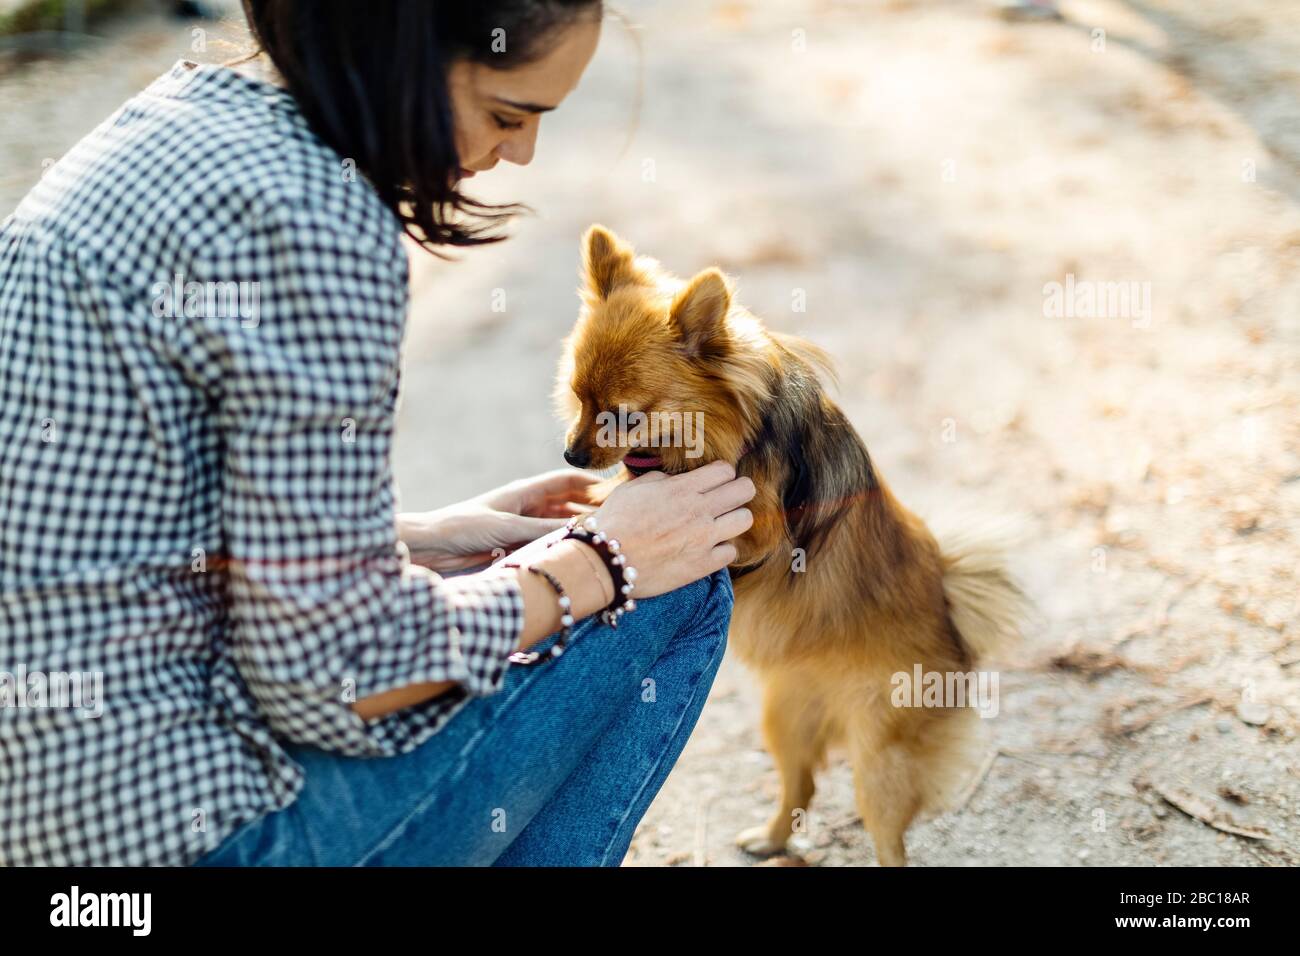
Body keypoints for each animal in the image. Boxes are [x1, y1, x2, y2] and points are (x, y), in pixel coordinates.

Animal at [553, 226, 1019, 868]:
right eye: (578, 398)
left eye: (621, 418)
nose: (571, 455)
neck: (722, 435)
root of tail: (954, 615)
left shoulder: (755, 525)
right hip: (786, 721)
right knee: (801, 786)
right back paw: (770, 838)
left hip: (879, 760)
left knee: (885, 833)